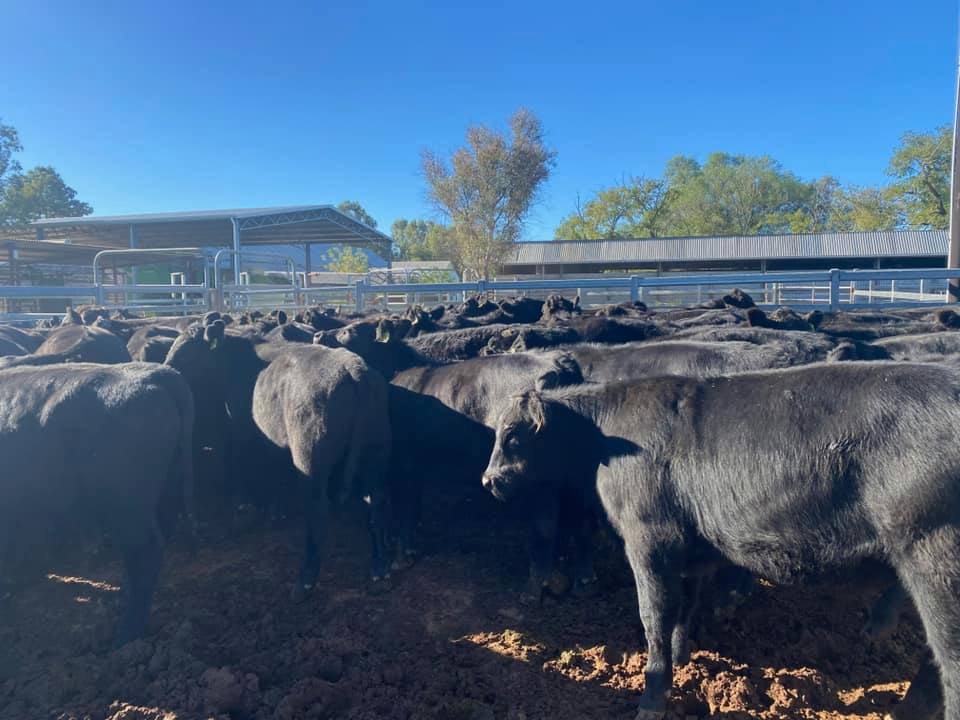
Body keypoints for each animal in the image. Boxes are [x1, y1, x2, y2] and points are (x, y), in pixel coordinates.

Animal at [482, 363, 960, 720]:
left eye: (513, 435)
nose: (488, 480)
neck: (606, 440)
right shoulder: (689, 548)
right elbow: (682, 609)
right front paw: (682, 661)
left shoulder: (648, 540)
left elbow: (653, 616)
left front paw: (652, 698)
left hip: (935, 562)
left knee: (947, 661)